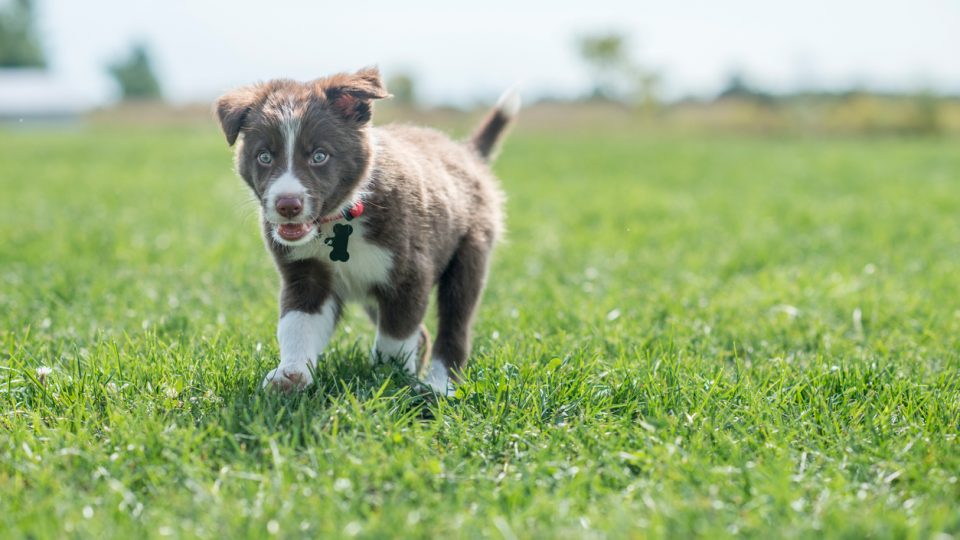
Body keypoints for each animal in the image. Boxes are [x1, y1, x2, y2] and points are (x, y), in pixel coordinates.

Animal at [215, 68, 520, 396]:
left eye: (319, 156)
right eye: (264, 157)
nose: (287, 205)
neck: (341, 216)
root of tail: (468, 153)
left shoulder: (409, 274)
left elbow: (395, 335)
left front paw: (388, 377)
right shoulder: (305, 273)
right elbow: (297, 324)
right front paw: (290, 375)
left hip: (469, 253)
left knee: (455, 324)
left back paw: (439, 384)